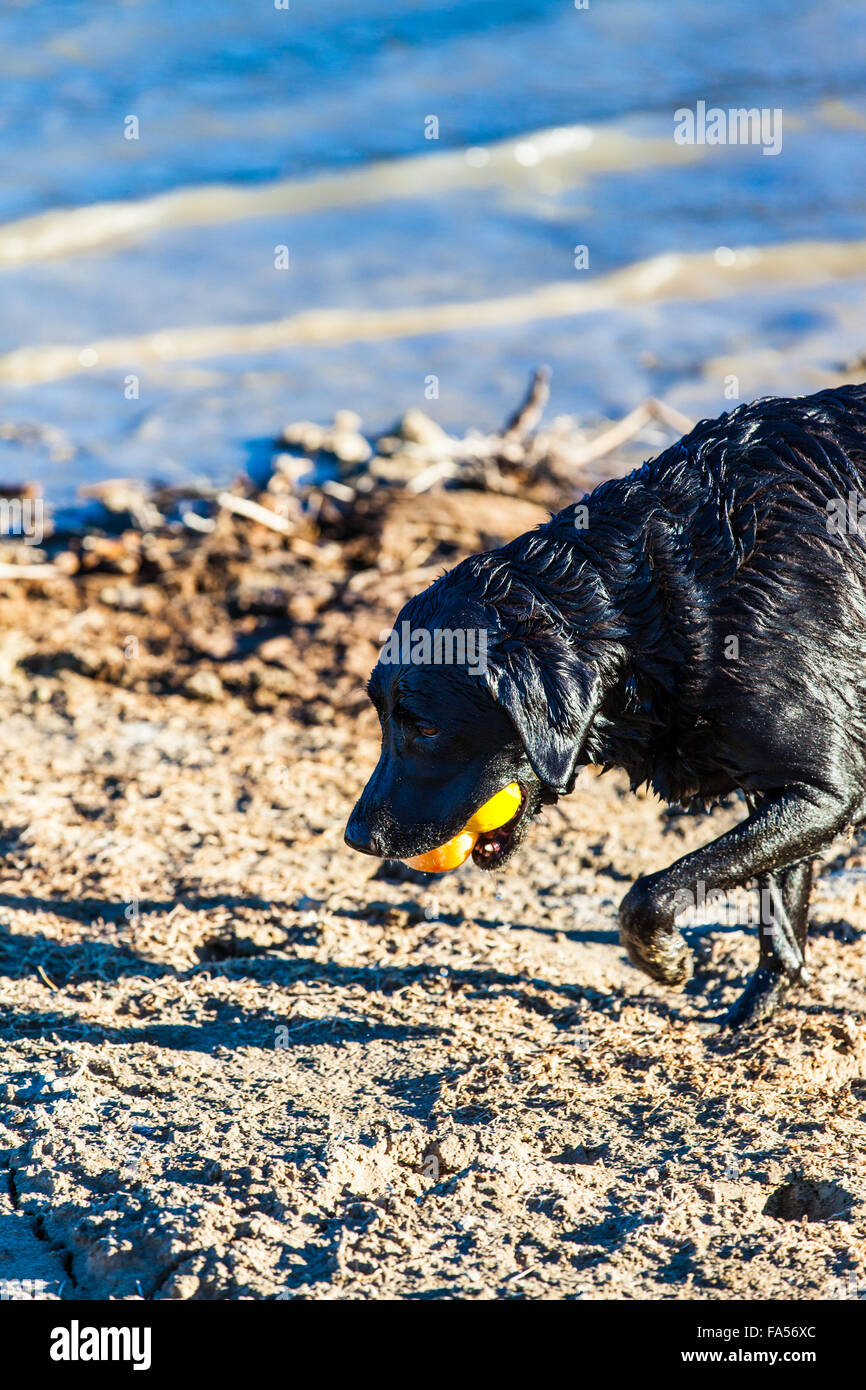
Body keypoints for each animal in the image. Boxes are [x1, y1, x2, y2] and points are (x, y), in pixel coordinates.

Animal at [346, 386, 866, 1028]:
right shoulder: (785, 788)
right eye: (380, 719)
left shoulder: (825, 793)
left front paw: (665, 961)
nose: (356, 837)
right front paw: (753, 1014)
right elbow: (780, 917)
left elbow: (647, 894)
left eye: (424, 728)